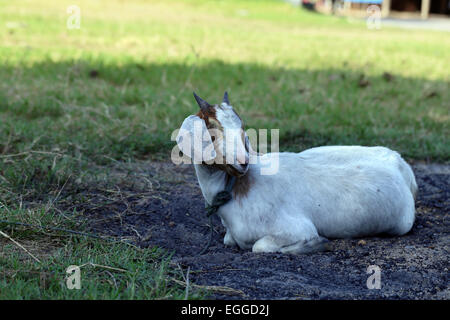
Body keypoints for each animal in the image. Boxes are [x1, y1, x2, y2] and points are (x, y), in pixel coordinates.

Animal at [176, 92, 418, 255]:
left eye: (242, 128)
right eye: (212, 128)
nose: (243, 161)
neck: (237, 189)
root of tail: (399, 162)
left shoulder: (296, 228)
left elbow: (259, 246)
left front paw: (315, 244)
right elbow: (229, 241)